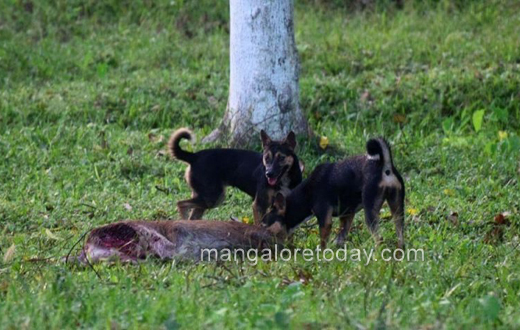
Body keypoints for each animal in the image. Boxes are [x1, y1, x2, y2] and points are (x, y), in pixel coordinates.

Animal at [169, 128, 302, 222]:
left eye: (281, 158)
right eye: (266, 158)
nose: (268, 174)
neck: (283, 180)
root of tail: (194, 156)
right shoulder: (259, 205)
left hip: (206, 197)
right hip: (213, 197)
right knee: (180, 203)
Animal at [262, 138, 404, 249]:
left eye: (265, 225)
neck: (307, 193)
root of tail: (385, 166)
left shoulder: (325, 220)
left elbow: (323, 244)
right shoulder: (347, 216)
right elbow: (339, 240)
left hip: (370, 211)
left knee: (379, 239)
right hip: (397, 207)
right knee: (401, 235)